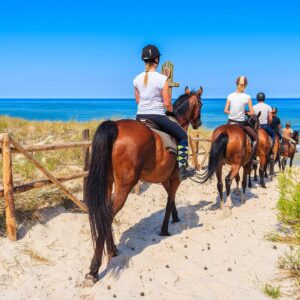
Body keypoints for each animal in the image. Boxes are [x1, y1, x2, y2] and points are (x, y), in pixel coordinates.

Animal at [85, 86, 204, 282]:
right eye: (200, 104)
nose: (198, 123)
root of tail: (116, 126)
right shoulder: (175, 178)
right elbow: (170, 200)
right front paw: (165, 229)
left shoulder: (164, 179)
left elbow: (171, 199)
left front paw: (175, 217)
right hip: (125, 186)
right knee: (108, 215)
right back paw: (94, 269)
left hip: (109, 183)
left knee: (104, 213)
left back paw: (113, 250)